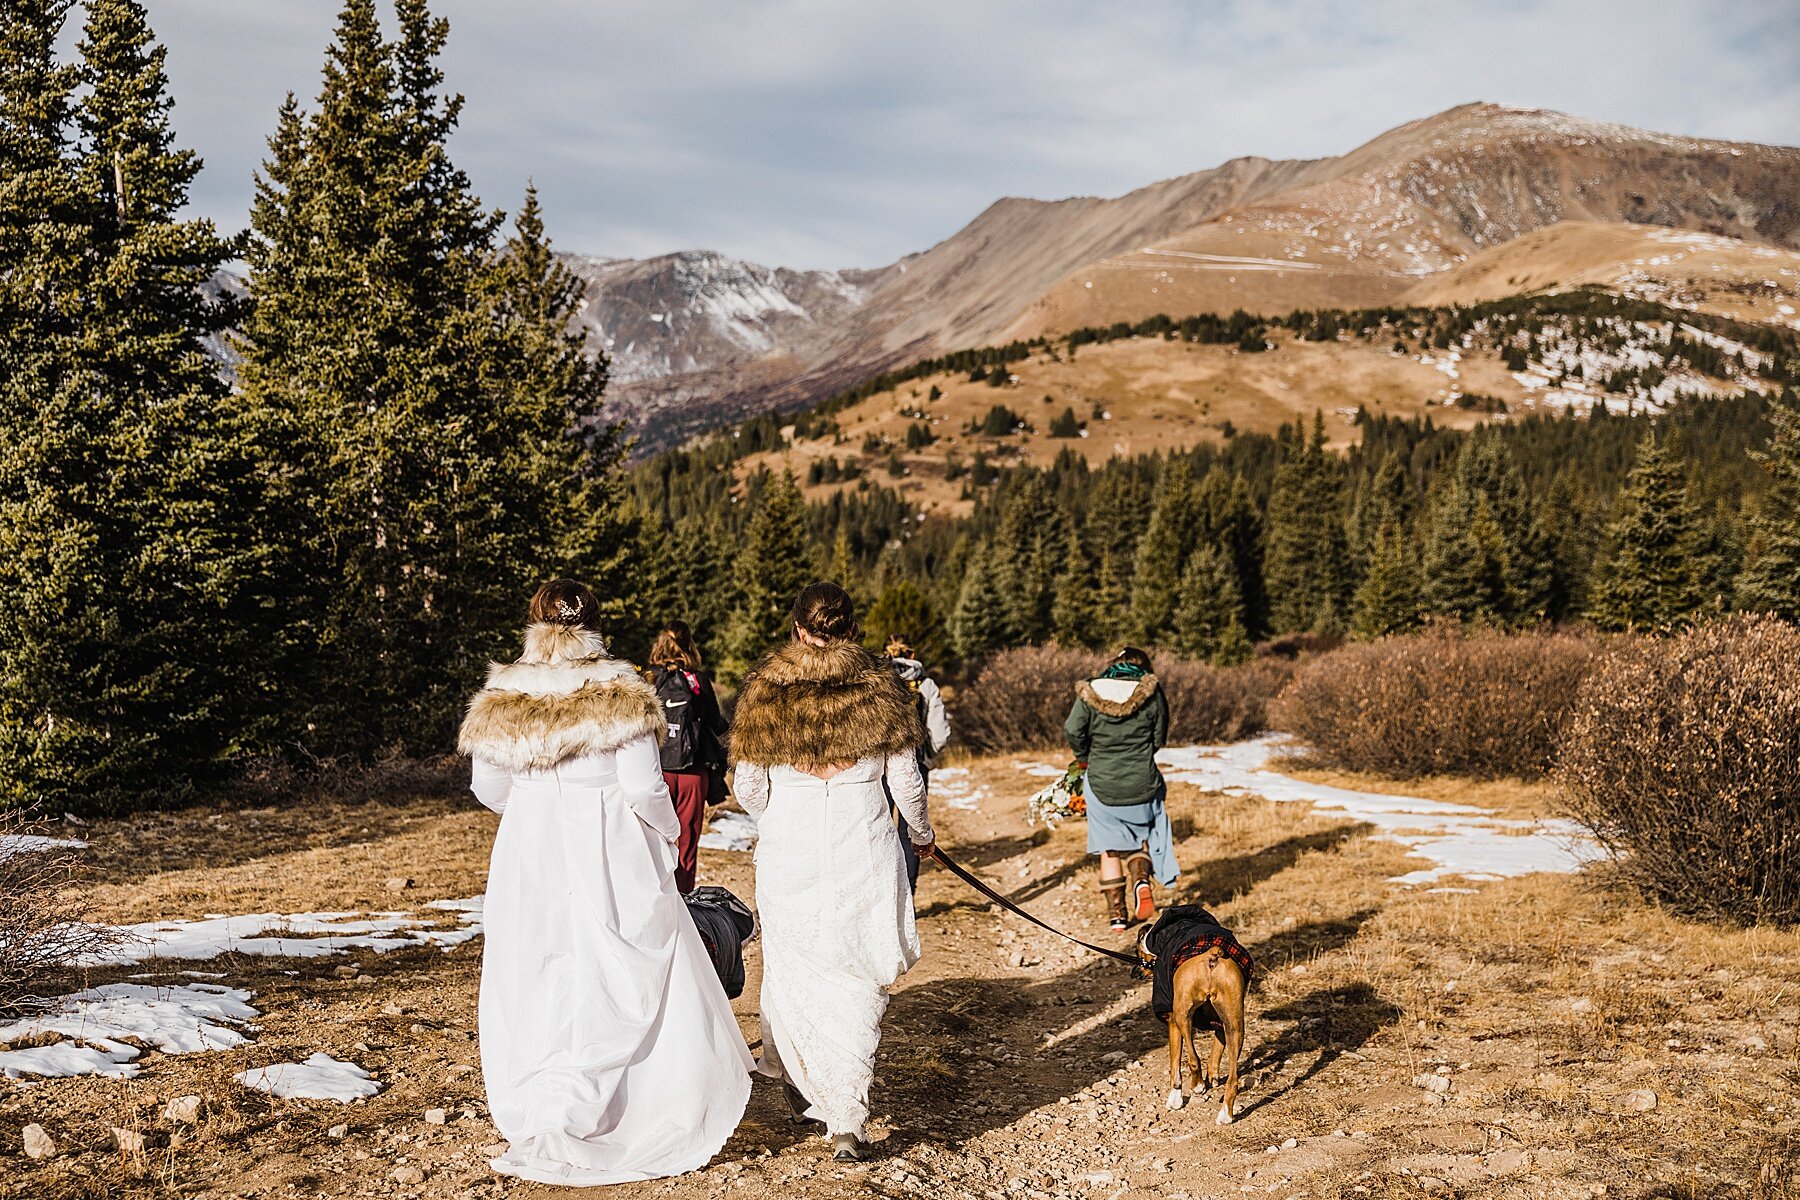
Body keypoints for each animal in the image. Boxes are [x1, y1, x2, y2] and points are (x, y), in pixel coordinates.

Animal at [1130, 928, 1245, 1122]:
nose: (1133, 973)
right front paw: (1212, 1077)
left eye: (1137, 954)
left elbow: (1175, 1064)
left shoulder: (1172, 1022)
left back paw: (1197, 1085)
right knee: (1233, 1079)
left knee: (1194, 1059)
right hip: (1235, 1024)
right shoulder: (1220, 1025)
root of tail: (1211, 954)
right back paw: (1226, 1114)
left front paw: (1175, 1099)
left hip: (1181, 1015)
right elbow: (1215, 1053)